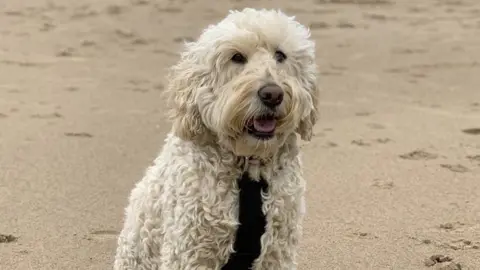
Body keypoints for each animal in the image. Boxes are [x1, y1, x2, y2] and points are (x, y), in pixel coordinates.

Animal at [113, 7, 318, 268]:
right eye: (237, 57)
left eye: (280, 55)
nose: (272, 94)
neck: (248, 165)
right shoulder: (189, 247)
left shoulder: (277, 249)